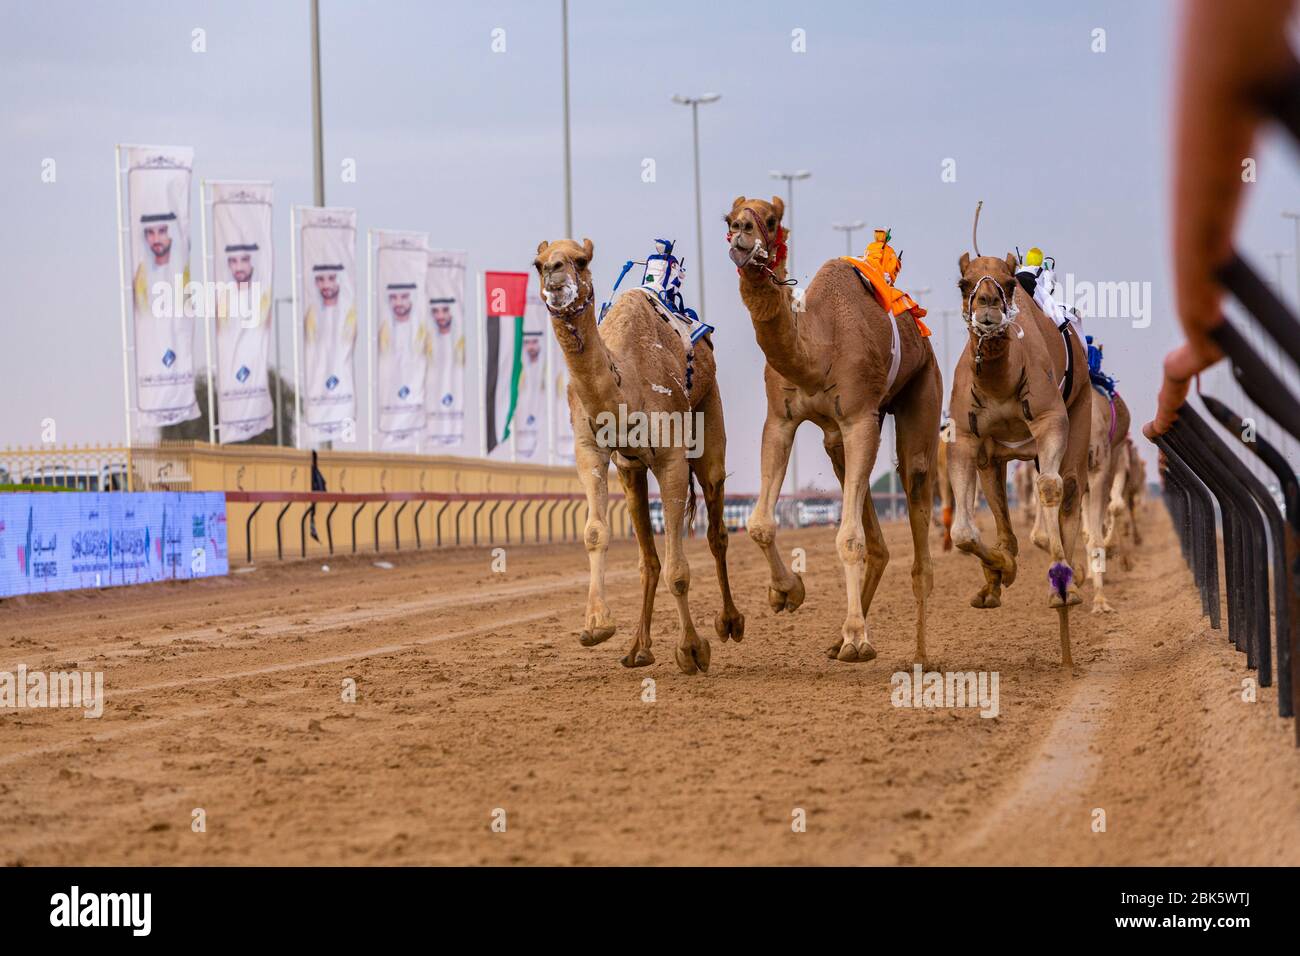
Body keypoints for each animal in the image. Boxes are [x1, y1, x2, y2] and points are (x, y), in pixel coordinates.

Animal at [534, 238, 744, 675]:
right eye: (538, 263)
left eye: (581, 260)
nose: (554, 275)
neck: (626, 383)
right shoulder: (591, 451)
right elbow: (595, 533)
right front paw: (596, 626)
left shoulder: (672, 459)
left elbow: (680, 570)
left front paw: (692, 650)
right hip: (630, 470)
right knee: (649, 558)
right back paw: (638, 649)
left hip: (709, 419)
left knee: (716, 530)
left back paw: (732, 621)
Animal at [724, 196, 941, 664]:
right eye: (729, 219)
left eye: (771, 219)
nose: (741, 233)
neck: (817, 350)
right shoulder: (780, 419)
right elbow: (760, 522)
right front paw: (787, 592)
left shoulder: (860, 419)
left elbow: (848, 539)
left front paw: (858, 639)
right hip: (836, 442)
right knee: (878, 541)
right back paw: (837, 641)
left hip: (923, 391)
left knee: (918, 518)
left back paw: (918, 653)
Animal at [946, 251, 1091, 667]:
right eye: (964, 283)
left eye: (1009, 284)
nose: (987, 305)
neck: (1001, 380)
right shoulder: (966, 439)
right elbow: (963, 532)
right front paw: (999, 576)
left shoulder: (1051, 420)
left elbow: (1050, 486)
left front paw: (1060, 586)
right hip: (994, 456)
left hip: (1081, 408)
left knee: (1069, 490)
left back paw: (1067, 589)